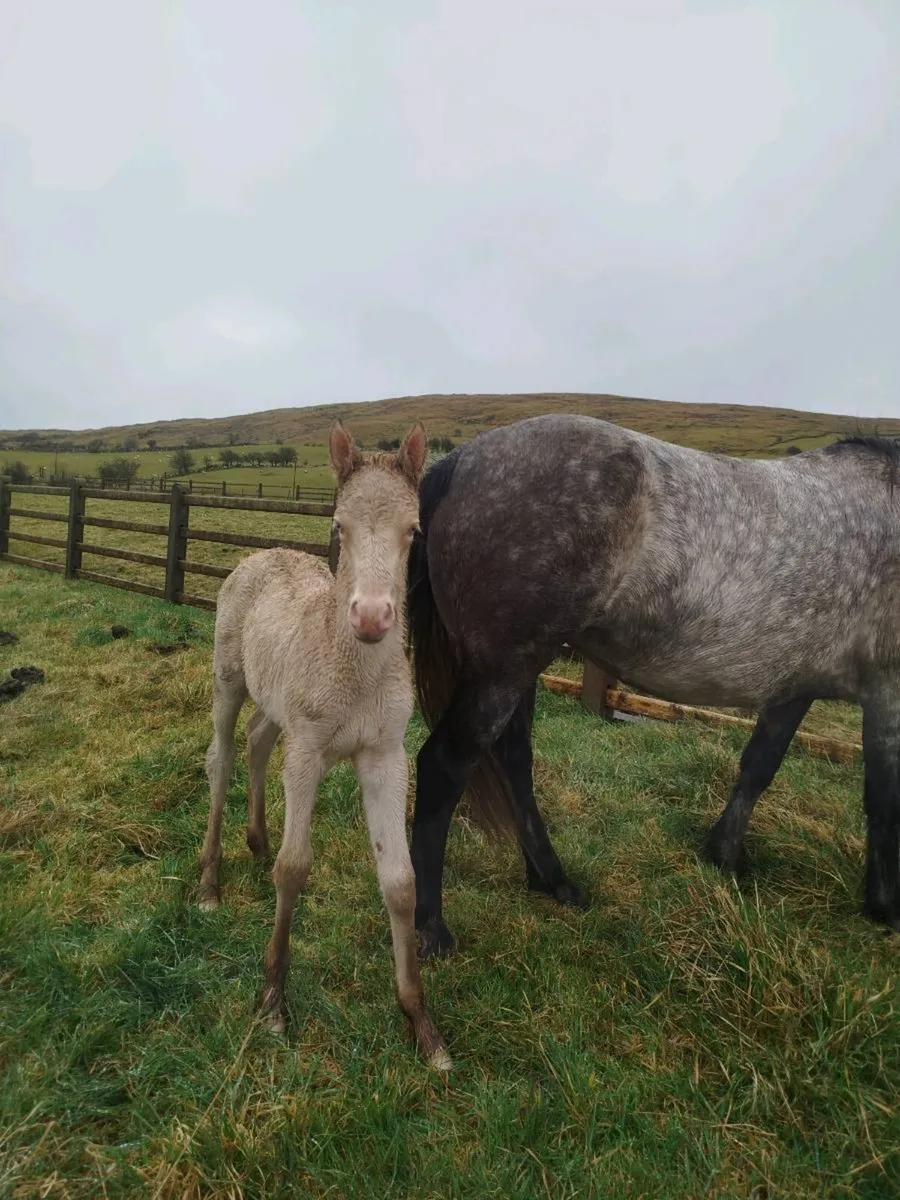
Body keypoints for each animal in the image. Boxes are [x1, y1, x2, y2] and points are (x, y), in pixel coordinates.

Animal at [198, 420, 451, 1071]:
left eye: (414, 530)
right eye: (339, 526)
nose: (372, 617)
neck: (354, 672)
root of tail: (262, 553)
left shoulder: (384, 756)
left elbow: (401, 882)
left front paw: (422, 1024)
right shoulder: (309, 751)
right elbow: (295, 869)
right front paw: (272, 1001)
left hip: (274, 702)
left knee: (259, 742)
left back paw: (257, 842)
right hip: (228, 680)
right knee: (222, 758)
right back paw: (209, 882)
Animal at [406, 413, 900, 959]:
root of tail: (460, 459)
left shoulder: (796, 686)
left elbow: (759, 766)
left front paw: (724, 856)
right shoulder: (886, 689)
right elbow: (883, 796)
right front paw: (885, 905)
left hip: (517, 668)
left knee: (514, 761)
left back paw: (553, 882)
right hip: (502, 671)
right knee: (443, 767)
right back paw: (432, 929)